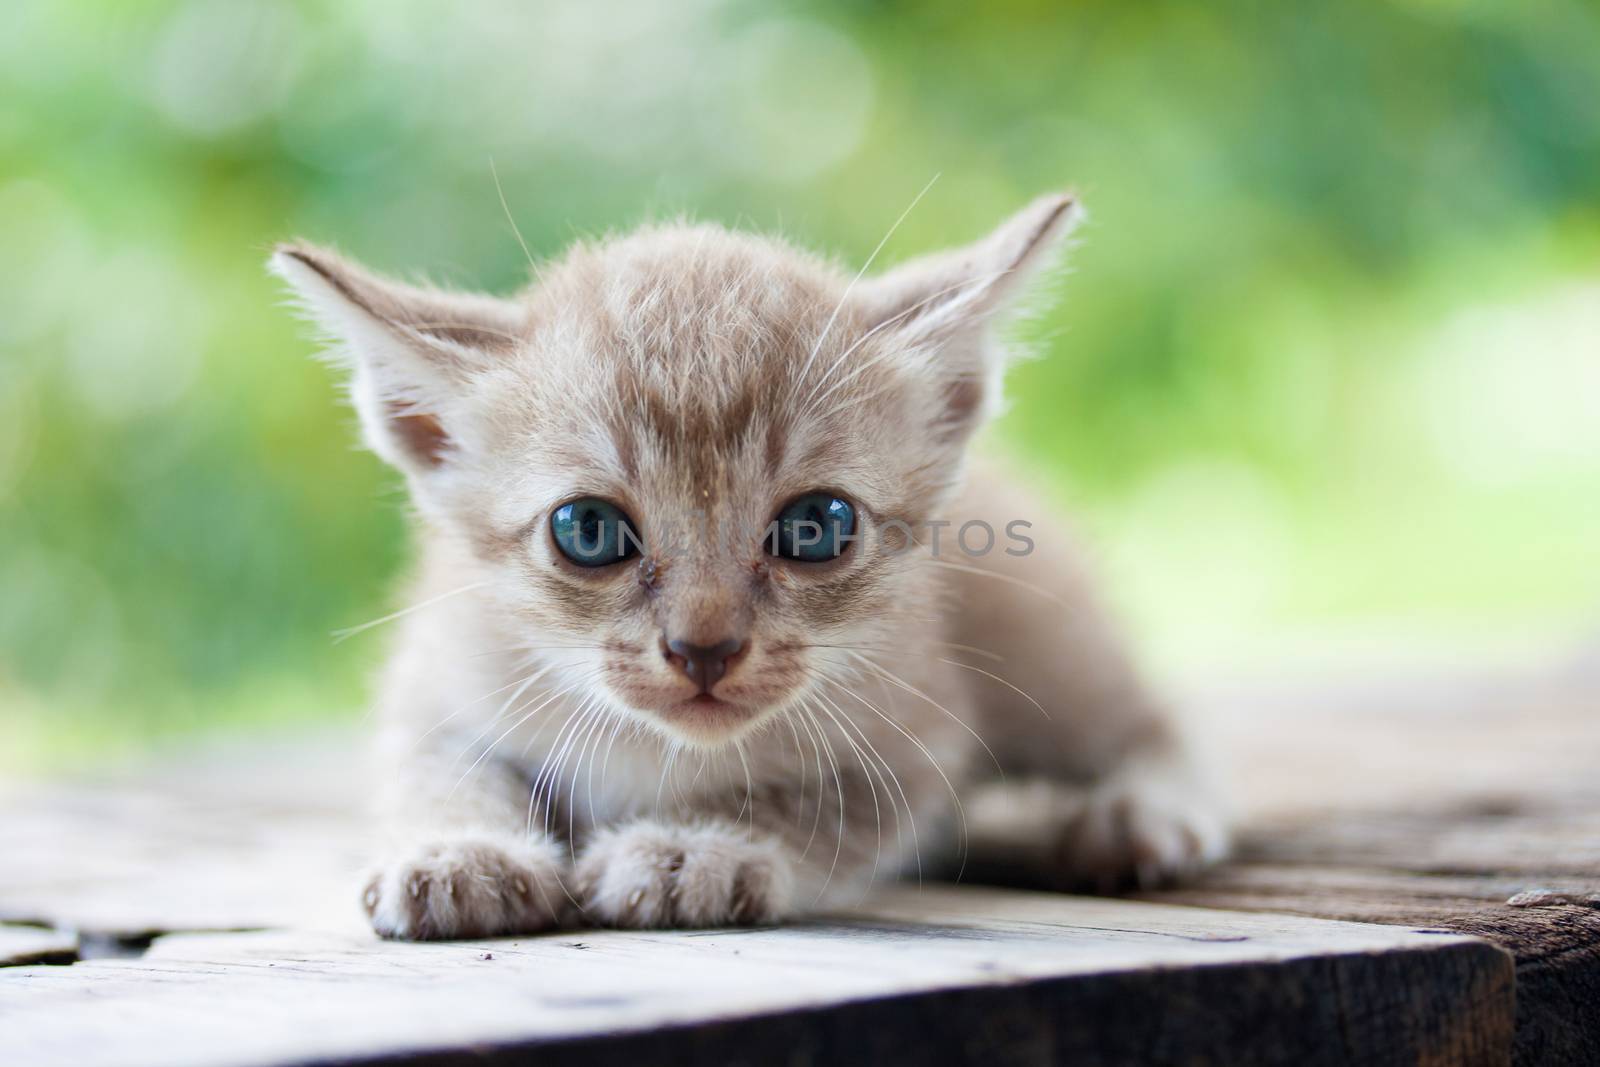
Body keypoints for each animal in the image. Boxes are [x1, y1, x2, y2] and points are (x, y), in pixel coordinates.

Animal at [272, 195, 1222, 940]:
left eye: (816, 526)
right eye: (588, 529)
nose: (704, 648)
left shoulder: (920, 732)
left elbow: (821, 807)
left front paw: (698, 846)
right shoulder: (439, 673)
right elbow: (440, 768)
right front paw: (459, 850)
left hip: (1044, 638)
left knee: (1147, 720)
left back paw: (1142, 813)